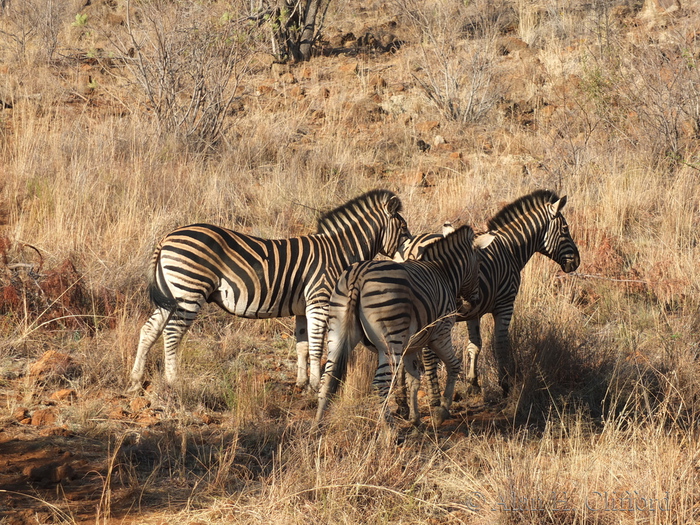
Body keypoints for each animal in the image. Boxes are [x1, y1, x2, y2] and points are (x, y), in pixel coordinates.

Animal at [129, 190, 410, 393]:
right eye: (404, 230)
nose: (408, 261)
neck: (340, 252)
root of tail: (166, 237)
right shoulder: (319, 300)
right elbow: (317, 346)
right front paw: (316, 385)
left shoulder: (303, 308)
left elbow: (303, 346)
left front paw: (302, 384)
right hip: (189, 292)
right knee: (172, 334)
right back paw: (173, 381)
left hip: (172, 294)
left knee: (149, 330)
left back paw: (135, 380)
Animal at [314, 225, 494, 427]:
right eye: (480, 264)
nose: (473, 302)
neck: (444, 273)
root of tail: (358, 277)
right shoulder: (440, 334)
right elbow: (453, 365)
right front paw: (441, 411)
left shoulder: (411, 346)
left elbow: (414, 380)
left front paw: (415, 419)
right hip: (389, 342)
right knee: (380, 384)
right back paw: (389, 429)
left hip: (337, 331)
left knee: (327, 377)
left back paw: (317, 425)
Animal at [395, 190, 580, 400]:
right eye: (565, 229)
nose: (576, 262)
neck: (511, 249)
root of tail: (411, 248)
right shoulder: (505, 304)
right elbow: (500, 343)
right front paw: (505, 385)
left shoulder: (473, 310)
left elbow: (474, 345)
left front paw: (473, 384)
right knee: (427, 354)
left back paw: (401, 398)